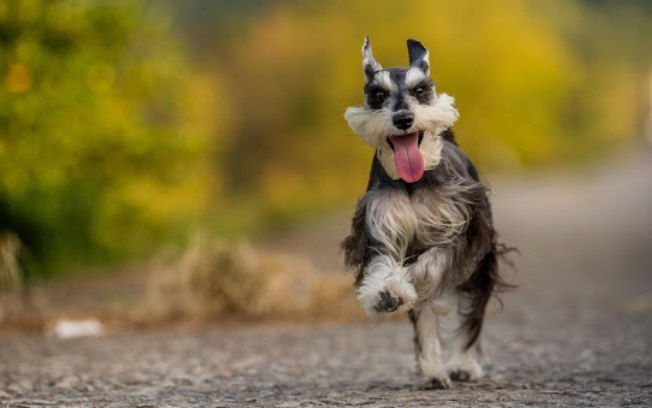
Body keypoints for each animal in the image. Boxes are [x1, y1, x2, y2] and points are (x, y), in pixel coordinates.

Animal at [342, 37, 510, 388]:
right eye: (378, 94)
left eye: (420, 89)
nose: (404, 118)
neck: (413, 182)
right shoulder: (381, 228)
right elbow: (386, 266)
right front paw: (386, 291)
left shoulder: (461, 234)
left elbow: (431, 266)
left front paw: (405, 283)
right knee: (425, 317)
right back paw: (433, 370)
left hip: (481, 264)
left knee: (472, 313)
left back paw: (463, 364)